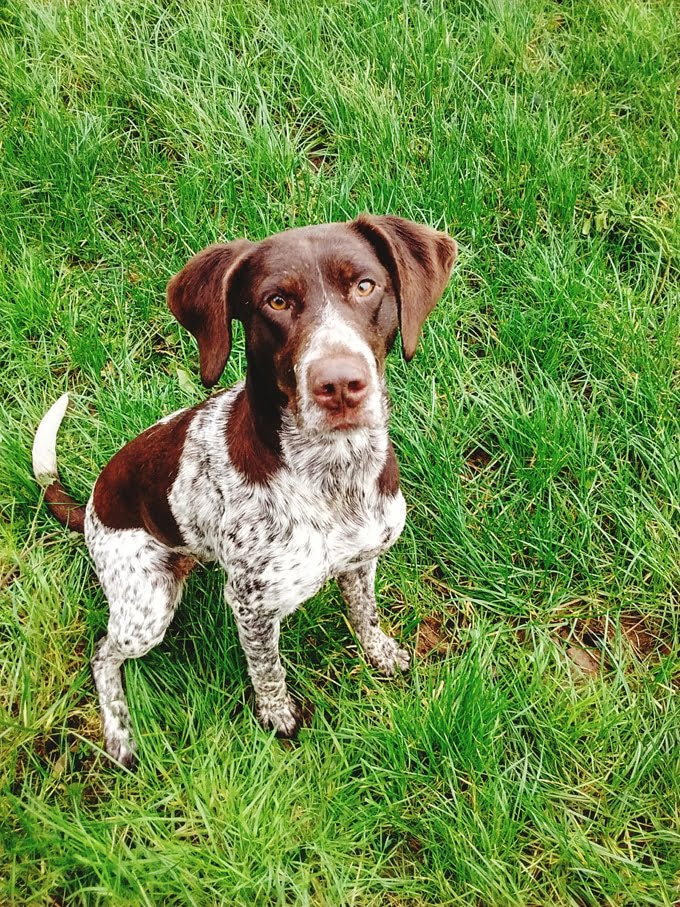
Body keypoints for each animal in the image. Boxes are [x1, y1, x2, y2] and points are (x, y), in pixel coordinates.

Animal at [31, 213, 456, 768]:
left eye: (365, 286)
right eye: (276, 301)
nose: (340, 385)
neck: (334, 474)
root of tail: (90, 507)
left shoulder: (362, 560)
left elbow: (365, 613)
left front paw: (380, 652)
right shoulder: (251, 604)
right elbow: (267, 669)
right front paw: (278, 717)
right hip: (147, 606)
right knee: (103, 653)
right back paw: (119, 734)